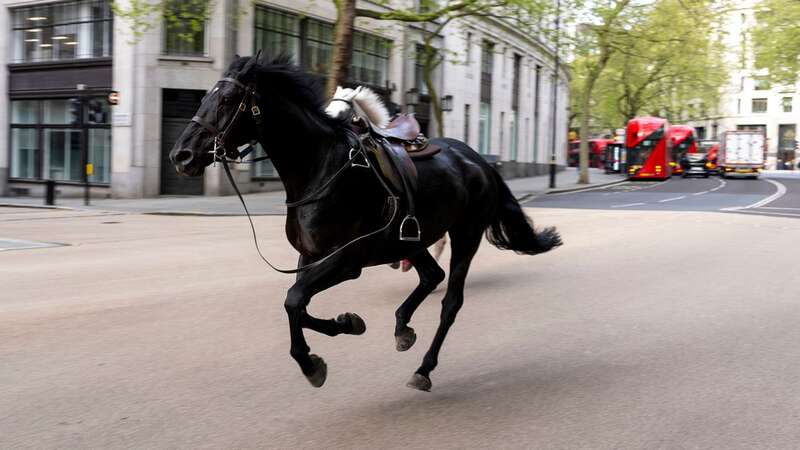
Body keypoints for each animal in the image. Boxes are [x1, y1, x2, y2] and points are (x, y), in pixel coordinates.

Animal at [169, 53, 560, 390]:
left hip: (466, 234)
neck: (320, 169)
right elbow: (298, 304)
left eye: (227, 99)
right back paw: (402, 328)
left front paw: (311, 363)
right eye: (206, 96)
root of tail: (479, 160)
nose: (181, 155)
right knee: (431, 275)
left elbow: (293, 300)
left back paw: (424, 369)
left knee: (450, 302)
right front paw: (347, 324)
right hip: (411, 239)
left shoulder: (346, 261)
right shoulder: (310, 257)